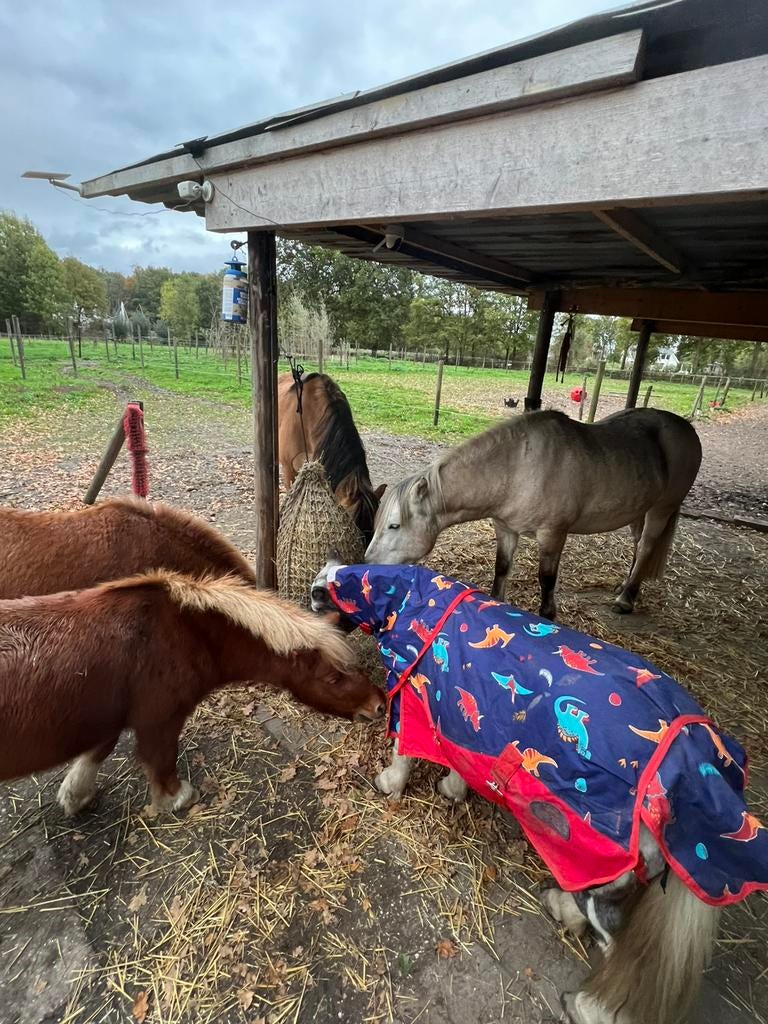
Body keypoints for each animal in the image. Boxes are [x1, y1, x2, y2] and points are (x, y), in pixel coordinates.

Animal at [0, 571, 385, 817]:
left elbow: (98, 750)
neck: (186, 631)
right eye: (333, 678)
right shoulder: (160, 721)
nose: (380, 705)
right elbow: (160, 760)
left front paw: (75, 797)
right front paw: (176, 798)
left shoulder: (111, 715)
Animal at [311, 559, 768, 1024]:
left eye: (320, 597)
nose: (314, 619)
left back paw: (582, 999)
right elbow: (461, 760)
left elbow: (403, 751)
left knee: (618, 952)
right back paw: (560, 911)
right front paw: (453, 789)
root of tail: (694, 773)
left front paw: (390, 784)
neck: (413, 601)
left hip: (601, 866)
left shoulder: (416, 700)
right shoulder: (462, 715)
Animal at [365, 408, 702, 619]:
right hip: (638, 510)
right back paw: (627, 585)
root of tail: (686, 427)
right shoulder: (504, 529)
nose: (367, 563)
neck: (519, 467)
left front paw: (548, 615)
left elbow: (547, 579)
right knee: (638, 545)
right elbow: (501, 569)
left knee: (646, 546)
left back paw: (626, 598)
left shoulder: (553, 534)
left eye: (394, 526)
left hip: (661, 509)